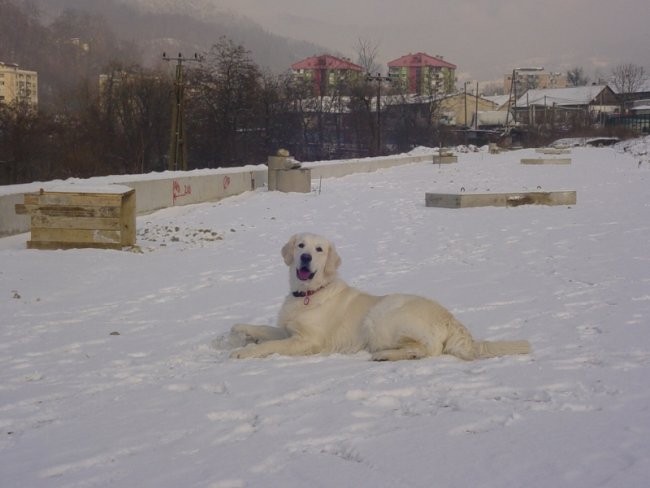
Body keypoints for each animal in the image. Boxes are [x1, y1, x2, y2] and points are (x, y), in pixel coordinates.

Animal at [230, 233, 528, 362]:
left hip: (382, 314)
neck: (309, 292)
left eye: (319, 249)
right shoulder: (287, 330)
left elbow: (270, 345)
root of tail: (450, 318)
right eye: (301, 245)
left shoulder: (307, 340)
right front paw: (239, 330)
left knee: (428, 349)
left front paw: (244, 351)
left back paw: (384, 355)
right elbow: (264, 330)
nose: (304, 257)